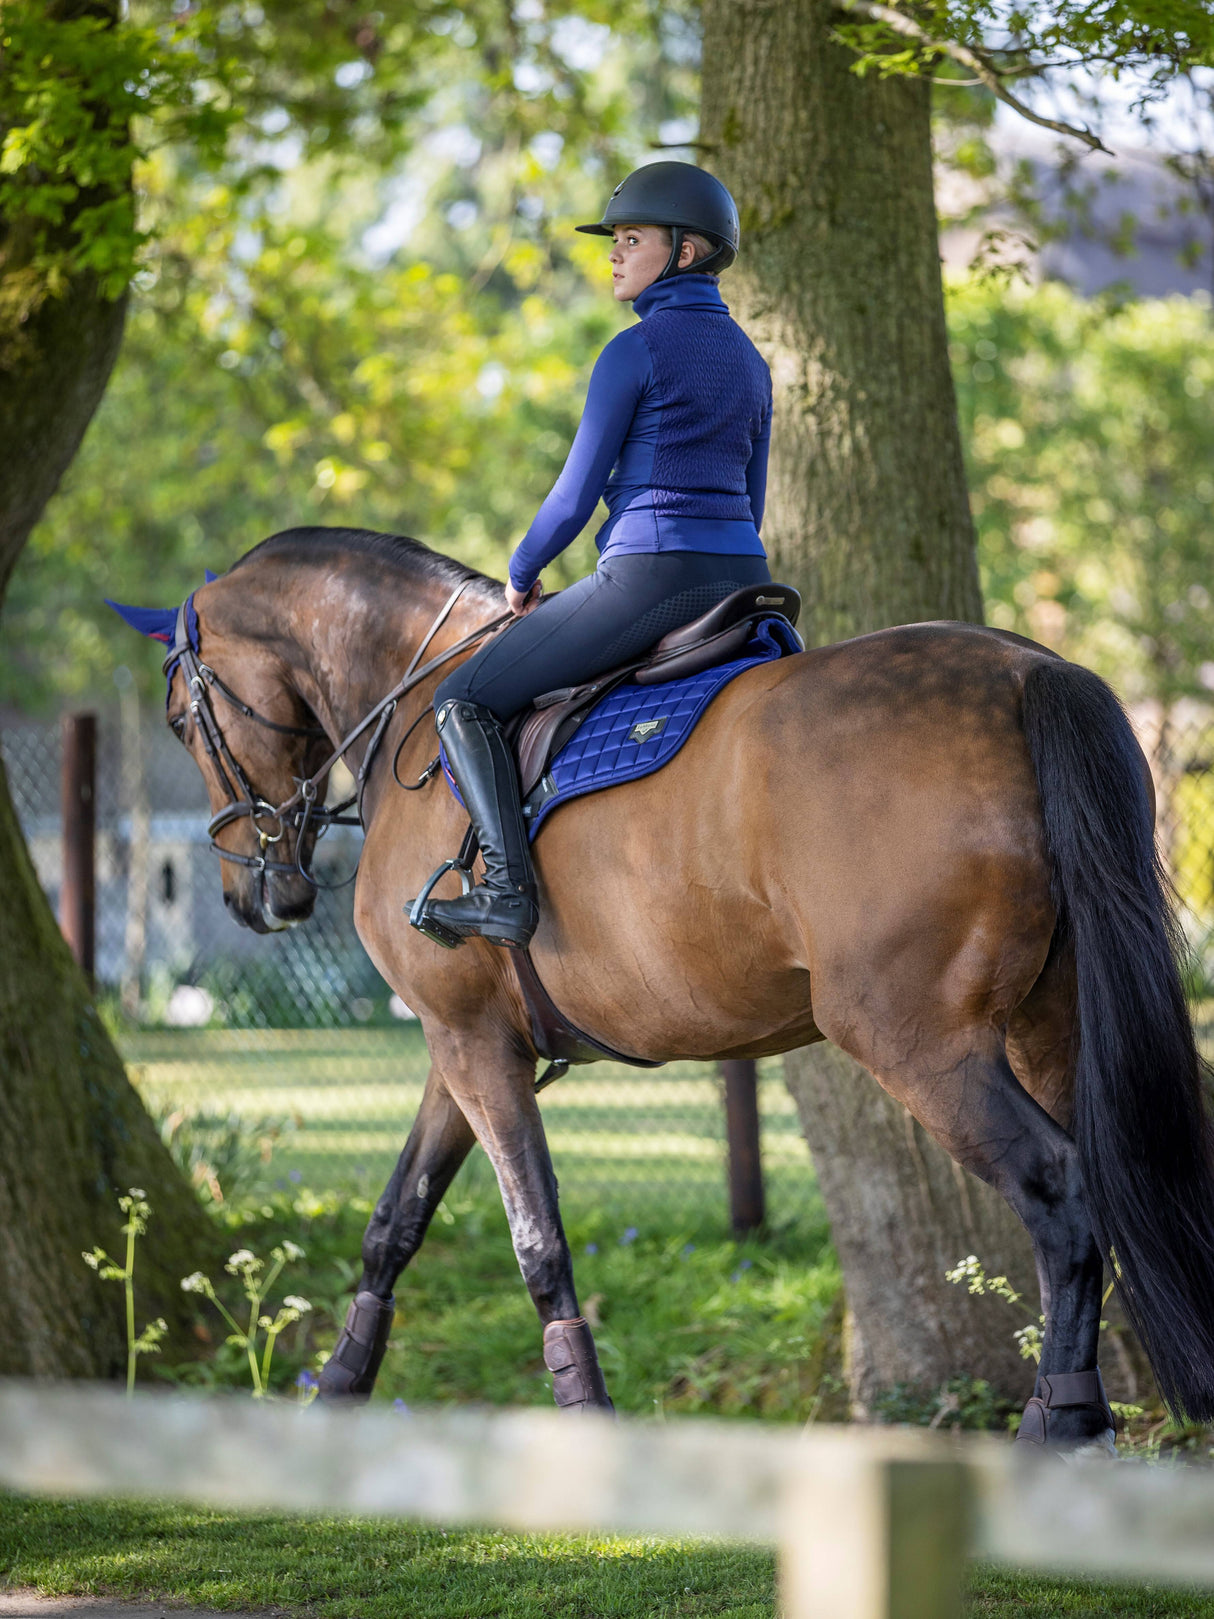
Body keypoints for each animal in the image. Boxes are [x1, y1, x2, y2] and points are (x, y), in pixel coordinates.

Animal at [116, 524, 1214, 1450]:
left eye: (177, 719)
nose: (255, 893)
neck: (414, 720)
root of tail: (1028, 668)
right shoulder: (458, 1043)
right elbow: (395, 1223)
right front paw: (340, 1387)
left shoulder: (468, 1042)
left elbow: (536, 1238)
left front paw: (584, 1411)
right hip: (1046, 1026)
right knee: (1098, 1192)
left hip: (917, 1040)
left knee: (1059, 1189)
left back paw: (1054, 1425)